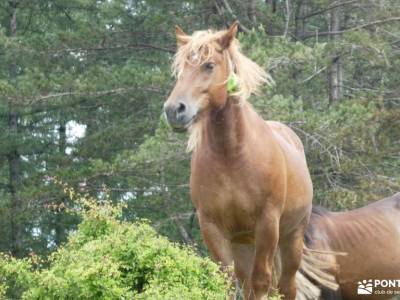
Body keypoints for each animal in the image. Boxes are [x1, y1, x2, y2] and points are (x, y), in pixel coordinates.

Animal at [164, 21, 336, 300]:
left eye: (209, 65)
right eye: (181, 68)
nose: (173, 110)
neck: (232, 157)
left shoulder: (267, 223)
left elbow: (261, 283)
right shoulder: (213, 228)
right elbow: (226, 282)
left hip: (290, 239)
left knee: (285, 286)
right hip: (244, 243)